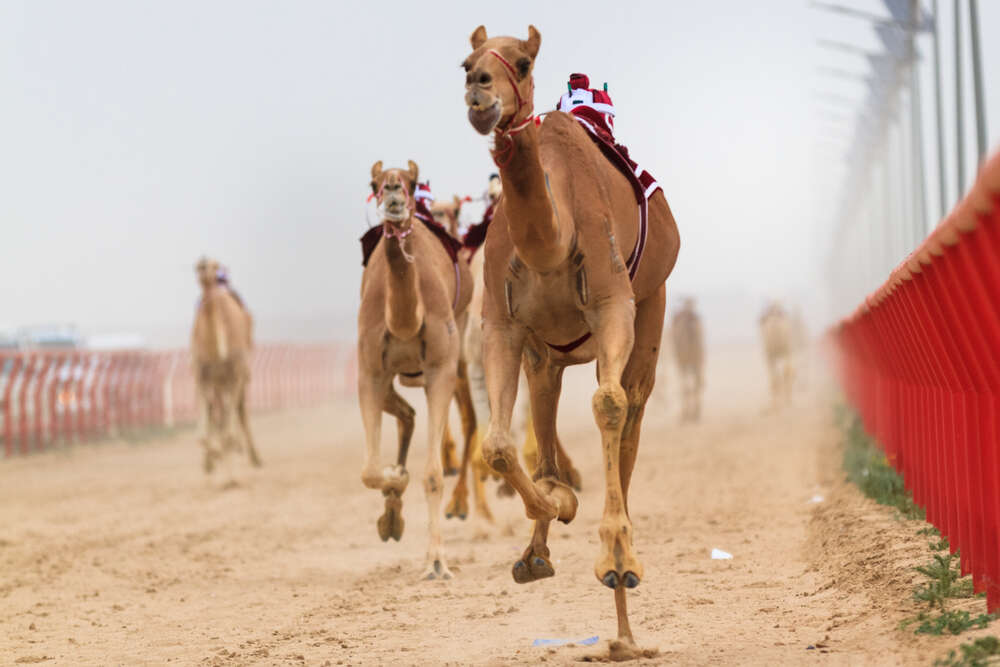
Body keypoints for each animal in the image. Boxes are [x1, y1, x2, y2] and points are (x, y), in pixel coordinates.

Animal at [188, 253, 258, 478]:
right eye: (199, 266)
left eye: (215, 265)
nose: (202, 263)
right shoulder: (202, 375)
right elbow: (207, 426)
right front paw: (212, 455)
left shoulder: (235, 372)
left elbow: (229, 422)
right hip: (217, 382)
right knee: (218, 414)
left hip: (237, 377)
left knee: (238, 410)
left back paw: (252, 455)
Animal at [356, 160, 472, 580]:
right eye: (374, 182)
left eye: (410, 181)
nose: (392, 190)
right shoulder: (369, 371)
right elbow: (370, 470)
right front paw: (394, 479)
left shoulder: (440, 369)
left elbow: (434, 474)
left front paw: (437, 562)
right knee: (405, 414)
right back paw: (392, 511)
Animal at [460, 24, 680, 652]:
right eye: (466, 60)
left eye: (522, 62)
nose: (479, 91)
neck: (550, 245)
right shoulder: (502, 325)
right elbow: (499, 444)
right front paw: (558, 505)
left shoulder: (613, 305)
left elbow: (607, 402)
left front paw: (616, 557)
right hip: (546, 356)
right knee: (544, 414)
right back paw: (541, 549)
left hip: (652, 308)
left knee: (630, 416)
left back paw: (624, 605)